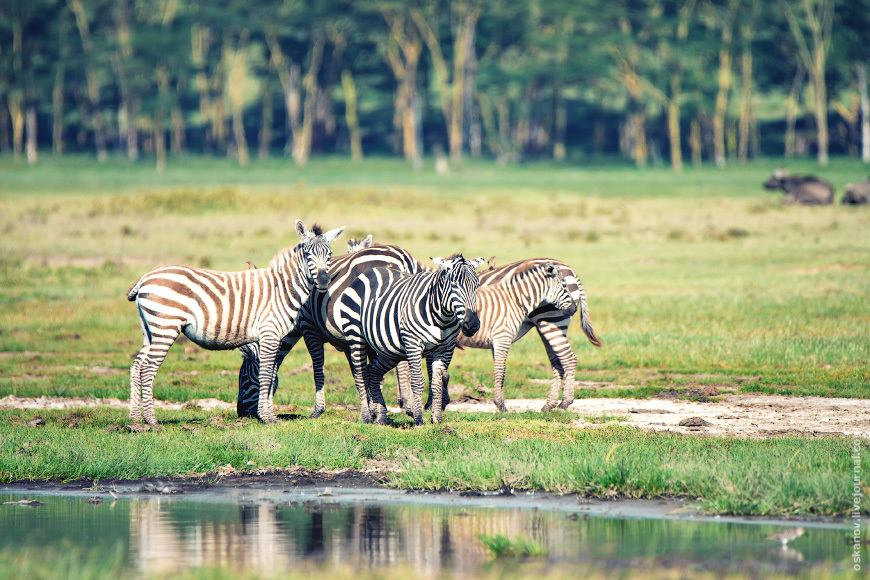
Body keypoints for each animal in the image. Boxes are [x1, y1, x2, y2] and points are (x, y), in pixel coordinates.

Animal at [126, 219, 344, 426]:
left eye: (330, 255)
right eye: (307, 254)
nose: (324, 281)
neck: (282, 288)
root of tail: (146, 277)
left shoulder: (272, 337)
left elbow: (271, 373)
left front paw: (268, 415)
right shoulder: (269, 332)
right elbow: (266, 374)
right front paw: (268, 417)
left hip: (150, 330)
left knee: (137, 366)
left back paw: (136, 419)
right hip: (165, 327)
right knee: (148, 368)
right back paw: (152, 421)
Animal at [235, 242, 426, 420]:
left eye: (243, 379)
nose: (241, 412)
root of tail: (402, 256)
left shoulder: (309, 327)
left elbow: (318, 369)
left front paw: (318, 411)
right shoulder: (352, 339)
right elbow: (361, 372)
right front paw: (373, 409)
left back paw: (407, 404)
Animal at [336, 256, 484, 424]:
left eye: (476, 285)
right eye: (454, 285)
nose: (472, 324)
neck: (443, 318)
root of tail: (368, 272)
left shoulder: (446, 348)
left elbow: (437, 383)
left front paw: (437, 420)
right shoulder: (413, 344)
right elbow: (418, 381)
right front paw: (419, 419)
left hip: (389, 350)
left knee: (373, 372)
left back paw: (380, 417)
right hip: (355, 336)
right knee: (360, 376)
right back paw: (366, 417)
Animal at [398, 258, 604, 412]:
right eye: (562, 287)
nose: (572, 309)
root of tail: (571, 271)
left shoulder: (500, 338)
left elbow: (499, 370)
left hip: (551, 321)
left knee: (568, 358)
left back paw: (564, 402)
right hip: (548, 325)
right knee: (558, 362)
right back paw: (550, 405)